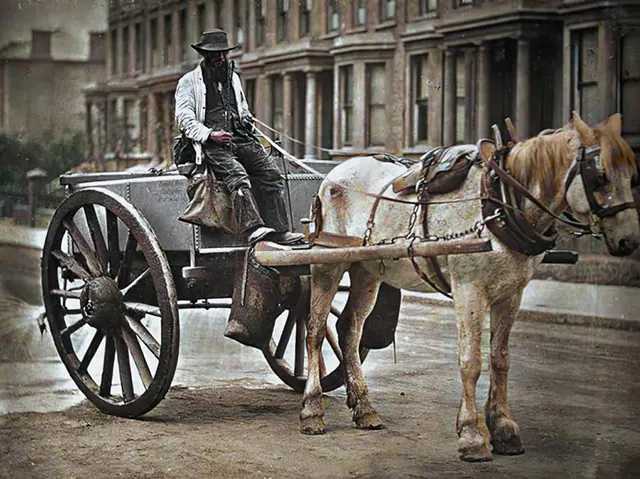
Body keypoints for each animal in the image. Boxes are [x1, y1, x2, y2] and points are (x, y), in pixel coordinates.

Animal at [300, 111, 640, 462]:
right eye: (600, 176)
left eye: (633, 177)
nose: (629, 242)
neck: (500, 203)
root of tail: (332, 176)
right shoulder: (469, 289)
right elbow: (471, 361)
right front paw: (472, 434)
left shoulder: (511, 293)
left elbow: (501, 359)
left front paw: (503, 428)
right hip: (327, 264)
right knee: (314, 331)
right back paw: (312, 409)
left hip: (366, 268)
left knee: (349, 329)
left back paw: (364, 407)